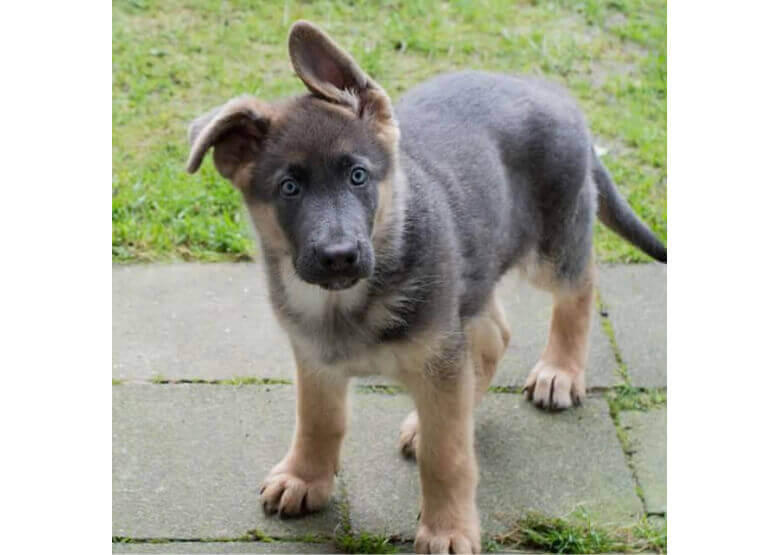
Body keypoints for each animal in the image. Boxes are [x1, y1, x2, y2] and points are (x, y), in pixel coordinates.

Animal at [186, 19, 668, 552]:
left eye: (358, 176)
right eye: (288, 188)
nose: (339, 256)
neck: (346, 303)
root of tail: (547, 88)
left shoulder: (439, 360)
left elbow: (448, 456)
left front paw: (447, 528)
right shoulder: (316, 358)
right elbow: (318, 421)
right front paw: (305, 477)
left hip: (553, 244)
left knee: (578, 290)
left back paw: (559, 371)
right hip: (473, 273)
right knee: (494, 335)